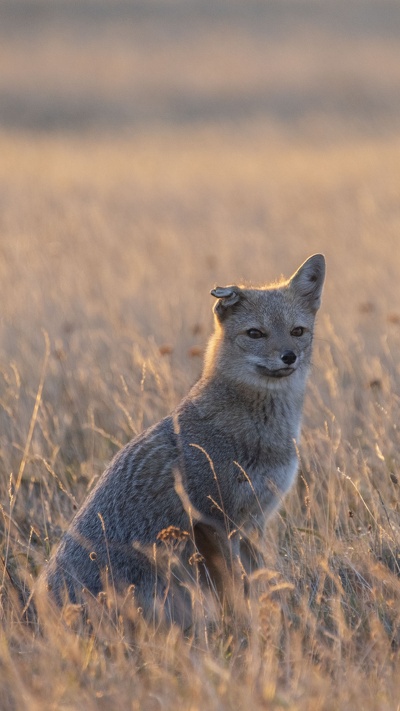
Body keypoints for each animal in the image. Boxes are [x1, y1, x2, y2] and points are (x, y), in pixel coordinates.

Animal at [43, 254, 324, 624]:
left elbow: (260, 581)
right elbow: (236, 589)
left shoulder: (254, 521)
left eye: (297, 331)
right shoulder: (217, 521)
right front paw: (243, 625)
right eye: (255, 333)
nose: (289, 356)